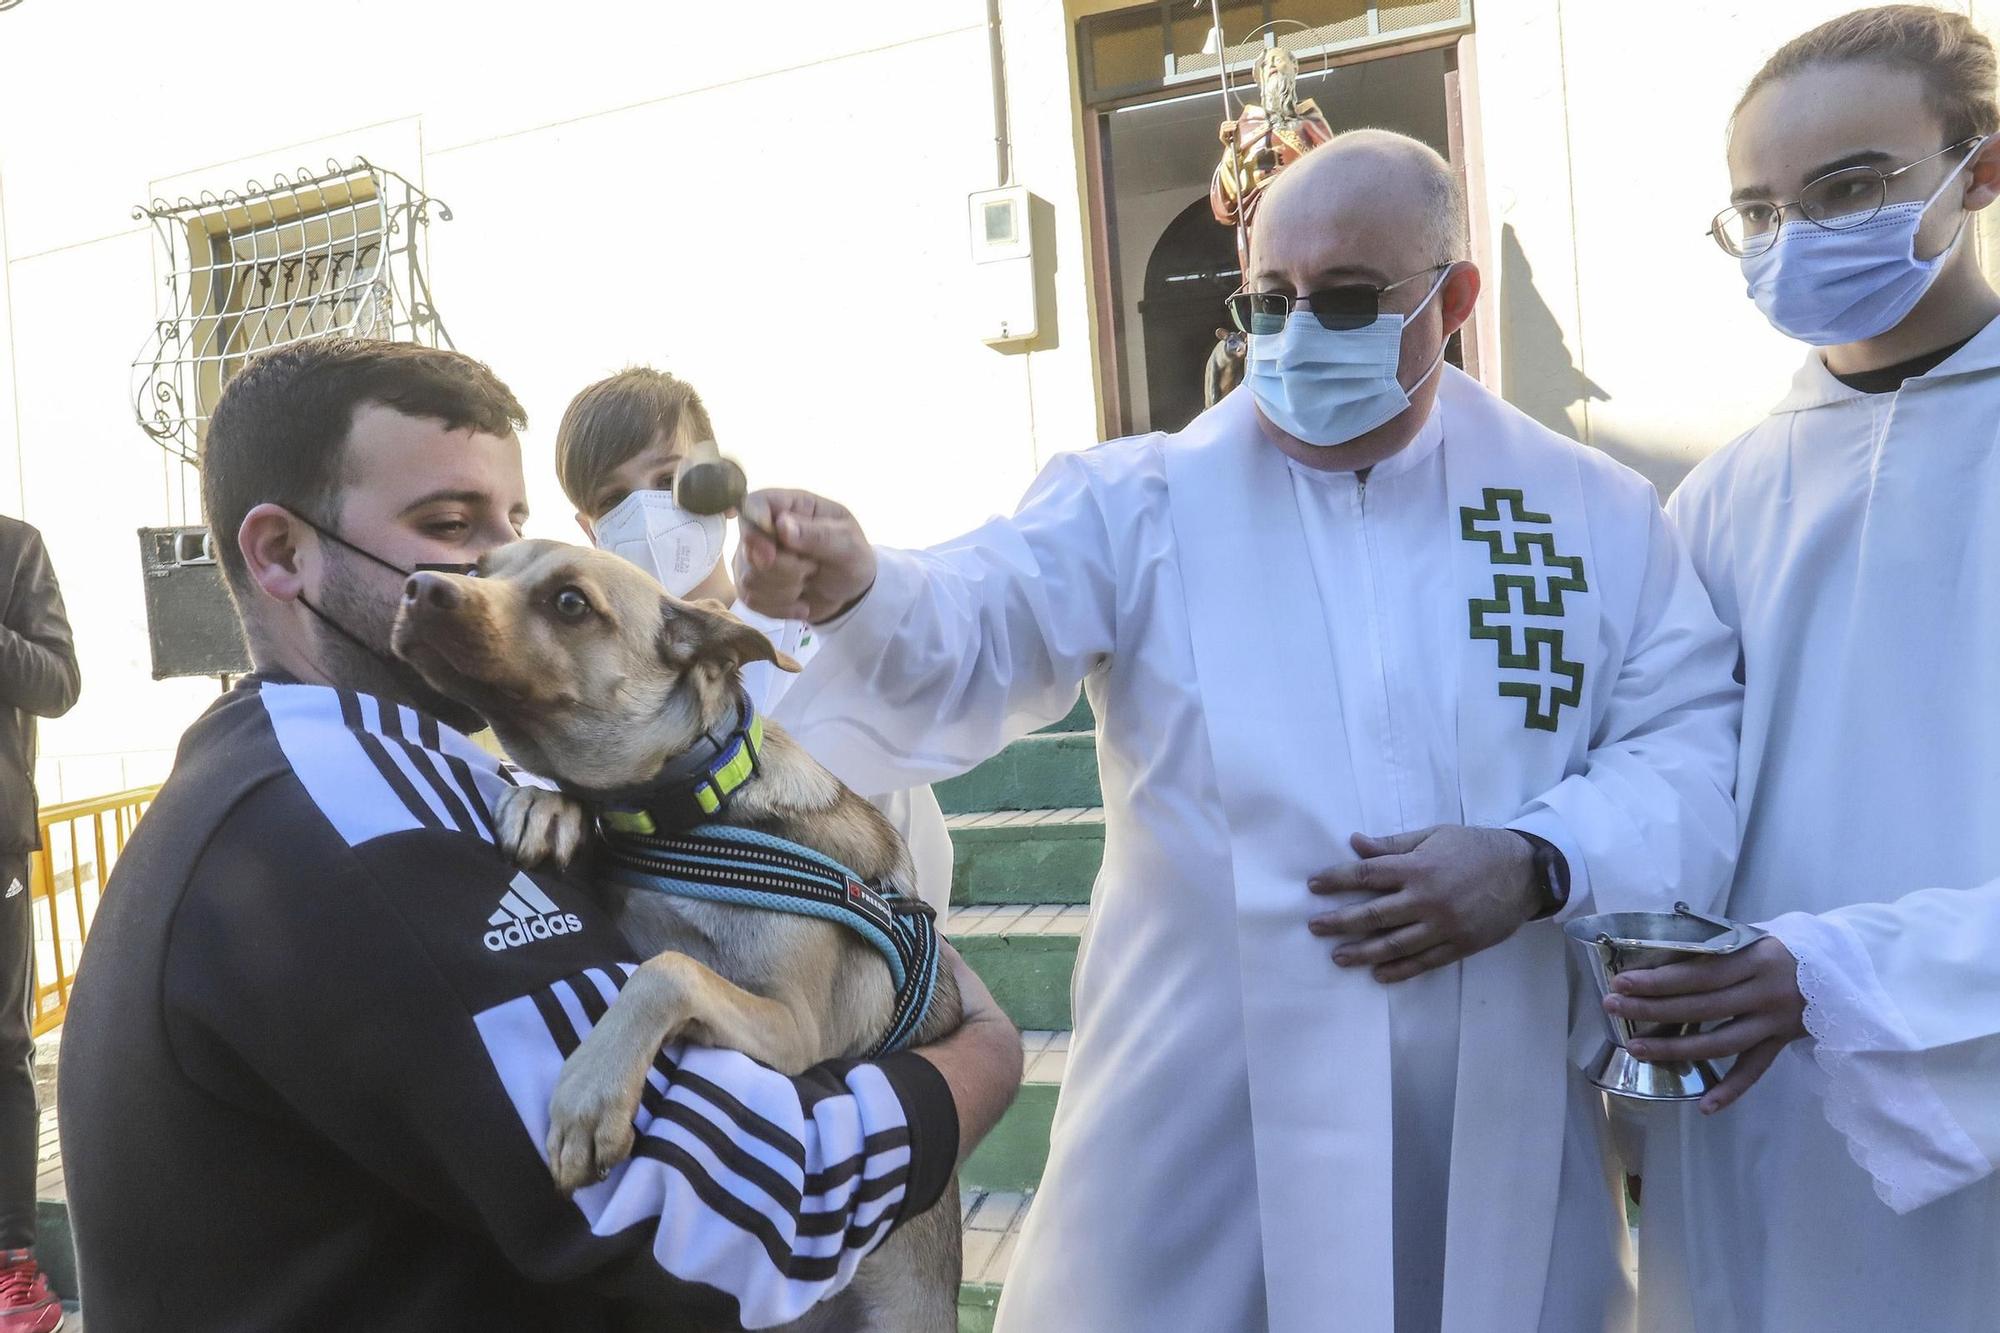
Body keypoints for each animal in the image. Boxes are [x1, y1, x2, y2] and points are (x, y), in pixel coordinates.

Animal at [392, 536, 968, 1320]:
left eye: (571, 602)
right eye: (479, 568)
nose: (420, 588)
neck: (687, 808)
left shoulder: (797, 1028)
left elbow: (669, 967)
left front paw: (590, 1092)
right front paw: (545, 804)